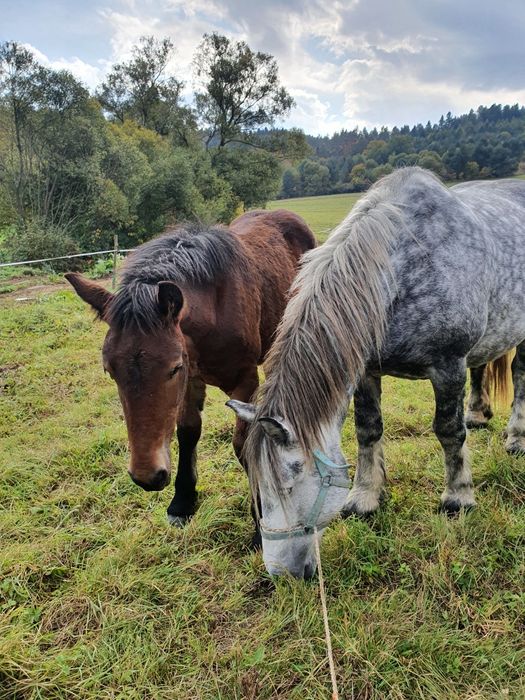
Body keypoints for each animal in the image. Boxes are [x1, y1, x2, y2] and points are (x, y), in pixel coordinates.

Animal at [64, 209, 314, 548]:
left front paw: (262, 518)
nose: (147, 476)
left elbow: (242, 444)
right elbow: (187, 431)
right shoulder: (191, 381)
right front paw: (182, 502)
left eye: (173, 367)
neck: (215, 311)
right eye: (109, 370)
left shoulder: (244, 380)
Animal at [227, 167, 524, 576]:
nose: (281, 573)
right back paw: (479, 415)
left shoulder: (448, 365)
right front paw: (365, 498)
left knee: (520, 374)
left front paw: (457, 499)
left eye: (291, 480)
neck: (401, 273)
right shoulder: (366, 372)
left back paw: (517, 437)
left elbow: (449, 433)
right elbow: (368, 431)